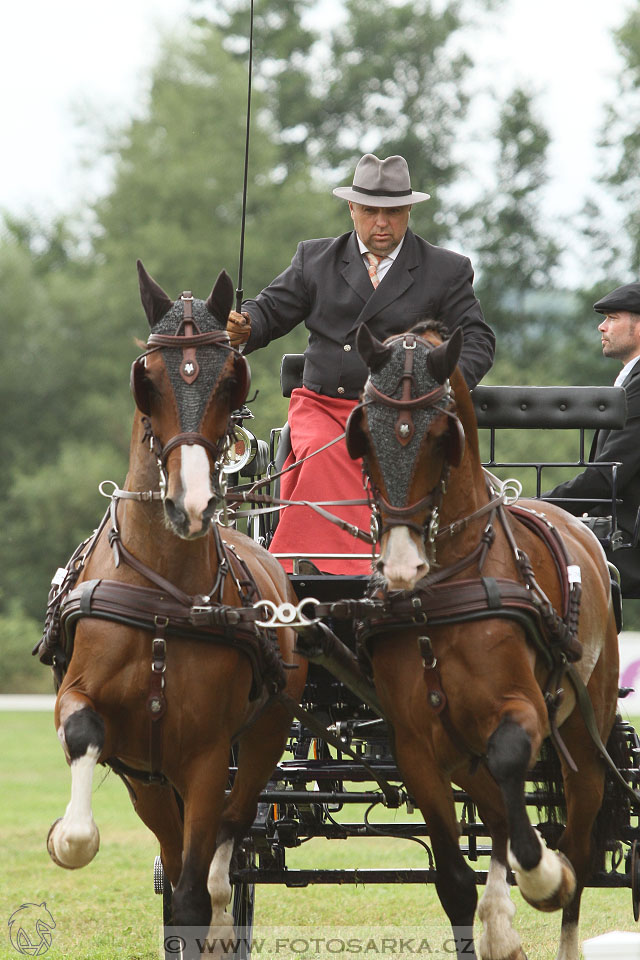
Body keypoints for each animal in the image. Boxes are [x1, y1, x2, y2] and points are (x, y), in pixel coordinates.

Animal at [44, 260, 304, 952]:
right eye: (148, 380)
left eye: (230, 378)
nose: (191, 505)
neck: (164, 598)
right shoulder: (91, 708)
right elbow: (81, 762)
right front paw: (67, 836)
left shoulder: (209, 756)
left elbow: (195, 892)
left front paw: (211, 915)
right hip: (149, 779)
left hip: (259, 741)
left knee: (227, 838)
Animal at [348, 322, 624, 960]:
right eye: (364, 433)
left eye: (440, 437)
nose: (401, 566)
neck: (439, 592)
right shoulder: (416, 747)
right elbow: (453, 880)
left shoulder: (525, 710)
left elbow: (511, 763)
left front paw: (542, 875)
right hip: (459, 747)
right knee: (497, 812)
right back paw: (502, 921)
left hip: (585, 731)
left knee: (578, 843)